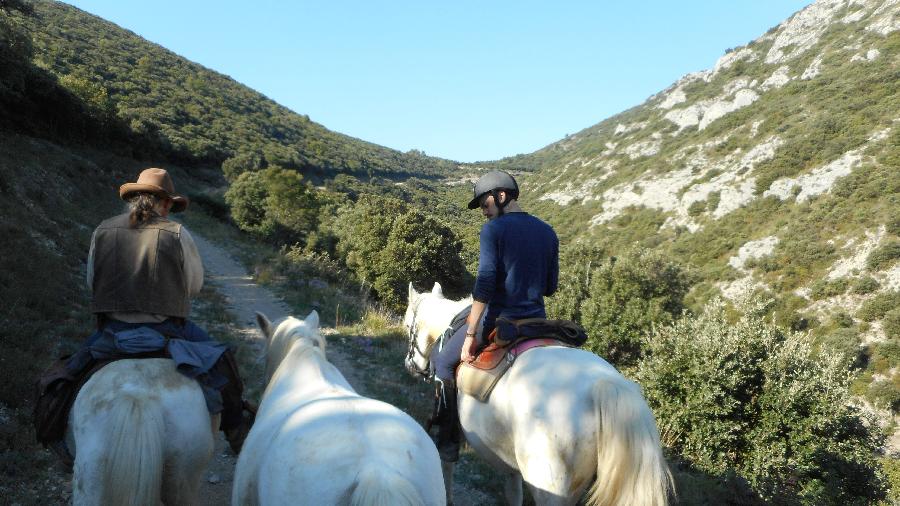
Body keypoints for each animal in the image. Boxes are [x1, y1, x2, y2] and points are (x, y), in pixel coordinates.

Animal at [404, 282, 672, 506]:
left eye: (408, 327)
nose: (410, 365)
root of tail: (606, 385)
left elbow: (446, 463)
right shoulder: (508, 459)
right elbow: (513, 492)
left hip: (550, 486)